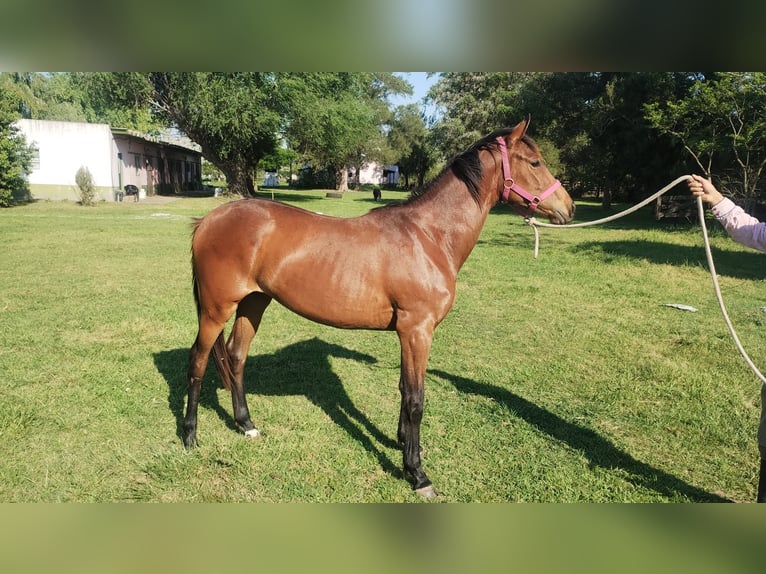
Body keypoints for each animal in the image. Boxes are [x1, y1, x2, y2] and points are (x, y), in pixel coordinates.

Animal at [186, 118, 576, 500]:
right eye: (535, 162)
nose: (568, 207)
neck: (428, 236)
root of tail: (207, 221)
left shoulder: (408, 333)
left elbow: (404, 388)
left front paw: (402, 444)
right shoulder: (417, 330)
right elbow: (417, 399)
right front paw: (418, 474)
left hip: (254, 302)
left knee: (236, 356)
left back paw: (246, 425)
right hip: (216, 309)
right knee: (199, 361)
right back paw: (190, 436)